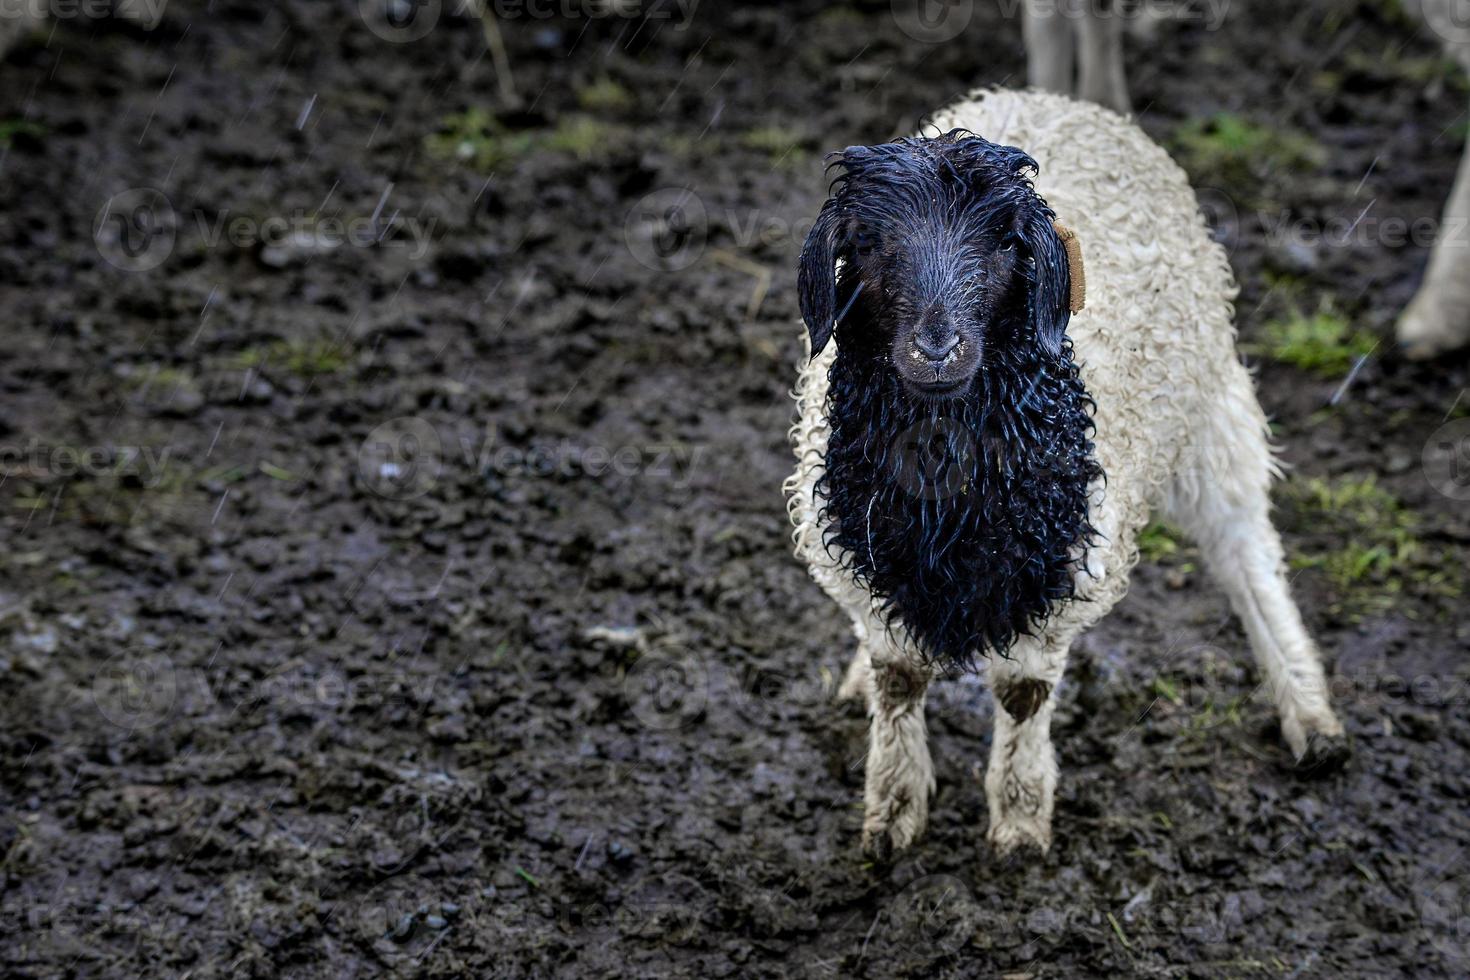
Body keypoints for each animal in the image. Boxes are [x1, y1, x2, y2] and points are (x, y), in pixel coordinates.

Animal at [787, 91, 1346, 858]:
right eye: (868, 244)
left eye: (1004, 243)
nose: (937, 349)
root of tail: (1062, 99)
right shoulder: (862, 553)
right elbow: (898, 678)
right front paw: (891, 814)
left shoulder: (1066, 570)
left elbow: (1023, 695)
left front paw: (1020, 821)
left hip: (1212, 410)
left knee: (1246, 552)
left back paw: (1308, 712)